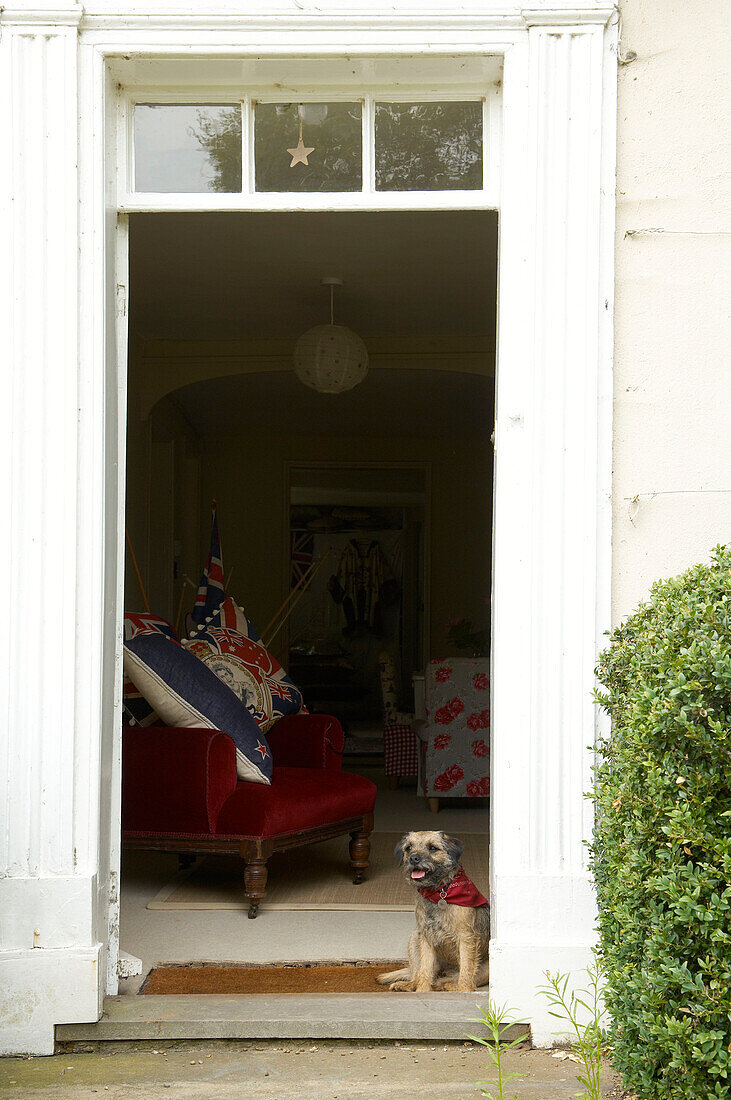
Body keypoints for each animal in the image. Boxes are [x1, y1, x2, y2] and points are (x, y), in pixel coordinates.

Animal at [373, 827, 488, 994]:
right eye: (408, 848)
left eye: (433, 848)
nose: (413, 858)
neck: (439, 891)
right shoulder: (426, 937)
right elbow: (425, 970)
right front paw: (422, 991)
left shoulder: (466, 937)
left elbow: (466, 971)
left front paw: (463, 991)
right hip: (414, 938)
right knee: (419, 974)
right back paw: (408, 985)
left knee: (460, 980)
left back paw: (452, 986)